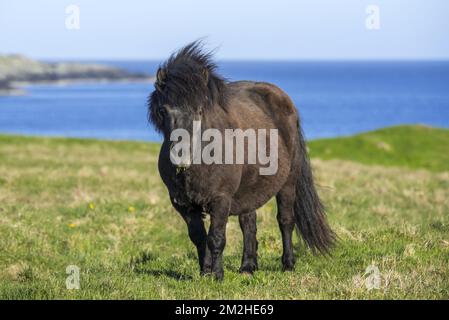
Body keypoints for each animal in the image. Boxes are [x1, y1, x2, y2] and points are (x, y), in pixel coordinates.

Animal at [147, 41, 332, 278]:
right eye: (164, 110)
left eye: (199, 111)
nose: (182, 155)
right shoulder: (183, 204)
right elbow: (199, 238)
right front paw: (204, 272)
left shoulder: (221, 200)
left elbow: (216, 238)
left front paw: (217, 275)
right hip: (249, 190)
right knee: (249, 224)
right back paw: (248, 267)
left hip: (288, 183)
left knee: (285, 220)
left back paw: (288, 264)